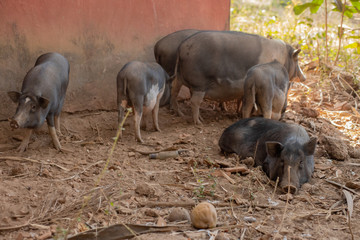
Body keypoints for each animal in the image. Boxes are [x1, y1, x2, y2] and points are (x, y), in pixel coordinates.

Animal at [170, 30, 306, 124]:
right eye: (297, 60)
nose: (304, 77)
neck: (283, 58)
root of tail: (181, 47)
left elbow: (242, 100)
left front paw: (238, 113)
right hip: (199, 83)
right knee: (194, 101)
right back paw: (199, 122)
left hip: (180, 77)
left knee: (174, 91)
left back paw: (181, 114)